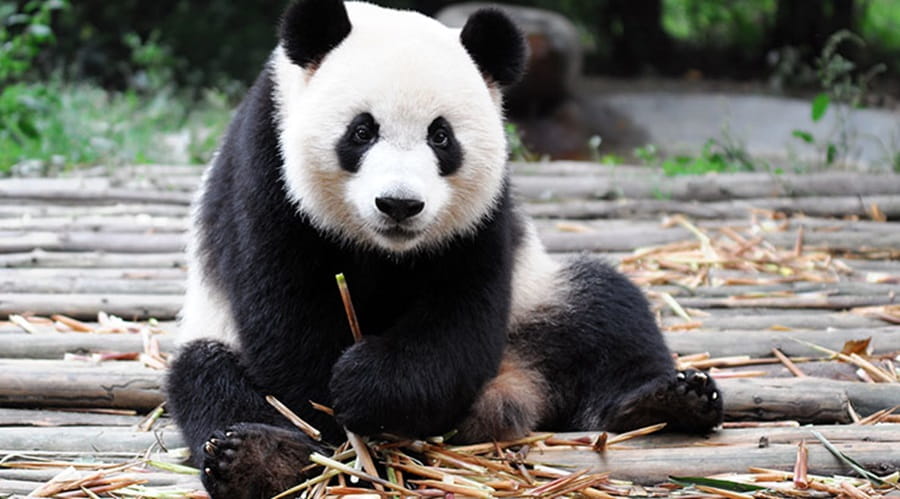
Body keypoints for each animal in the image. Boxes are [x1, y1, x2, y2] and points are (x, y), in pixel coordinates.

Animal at [166, 1, 724, 497]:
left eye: (441, 136)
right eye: (362, 130)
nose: (399, 204)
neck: (385, 248)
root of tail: (517, 389)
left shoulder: (484, 215)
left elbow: (461, 315)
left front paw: (367, 388)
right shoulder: (266, 170)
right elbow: (286, 311)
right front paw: (336, 423)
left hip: (536, 300)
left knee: (605, 309)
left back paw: (669, 401)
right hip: (213, 329)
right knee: (206, 378)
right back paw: (258, 460)